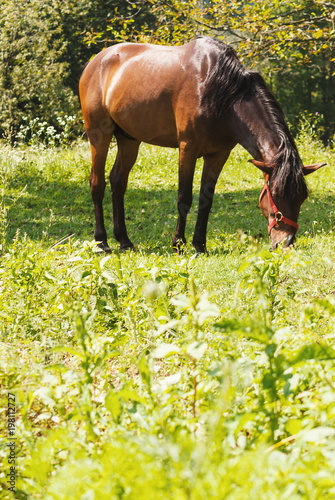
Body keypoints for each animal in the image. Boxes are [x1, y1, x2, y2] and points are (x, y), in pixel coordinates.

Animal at [79, 36, 326, 252]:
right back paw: (101, 243)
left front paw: (199, 245)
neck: (222, 93)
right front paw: (178, 244)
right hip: (98, 135)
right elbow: (184, 198)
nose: (286, 242)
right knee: (97, 183)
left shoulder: (218, 154)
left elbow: (206, 200)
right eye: (274, 193)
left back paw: (124, 240)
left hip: (129, 139)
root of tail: (96, 61)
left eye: (302, 196)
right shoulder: (187, 149)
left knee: (118, 182)